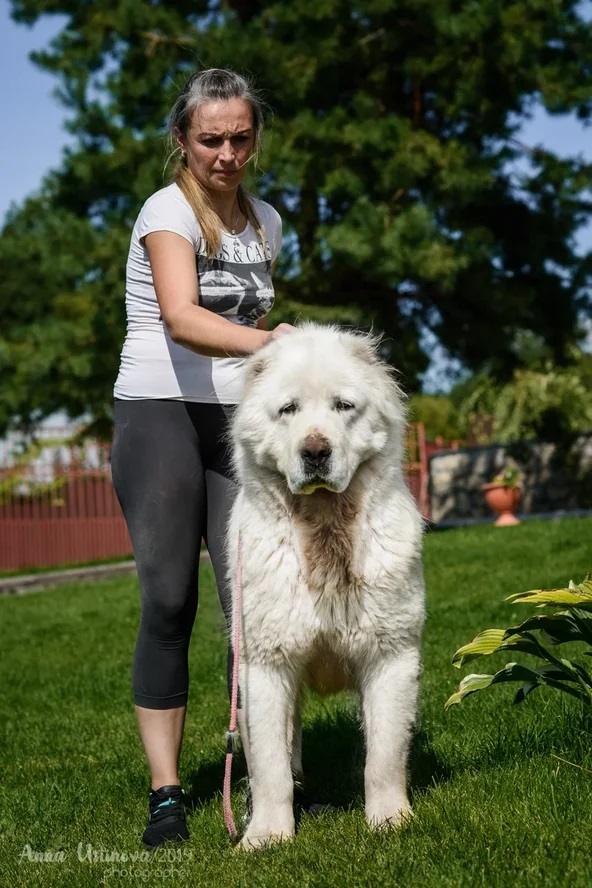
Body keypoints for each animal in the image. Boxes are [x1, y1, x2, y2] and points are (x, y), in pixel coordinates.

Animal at [227, 324, 426, 848]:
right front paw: (266, 836)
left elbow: (383, 756)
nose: (315, 451)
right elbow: (270, 766)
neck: (324, 529)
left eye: (343, 406)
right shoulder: (266, 667)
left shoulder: (390, 656)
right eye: (289, 409)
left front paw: (390, 821)